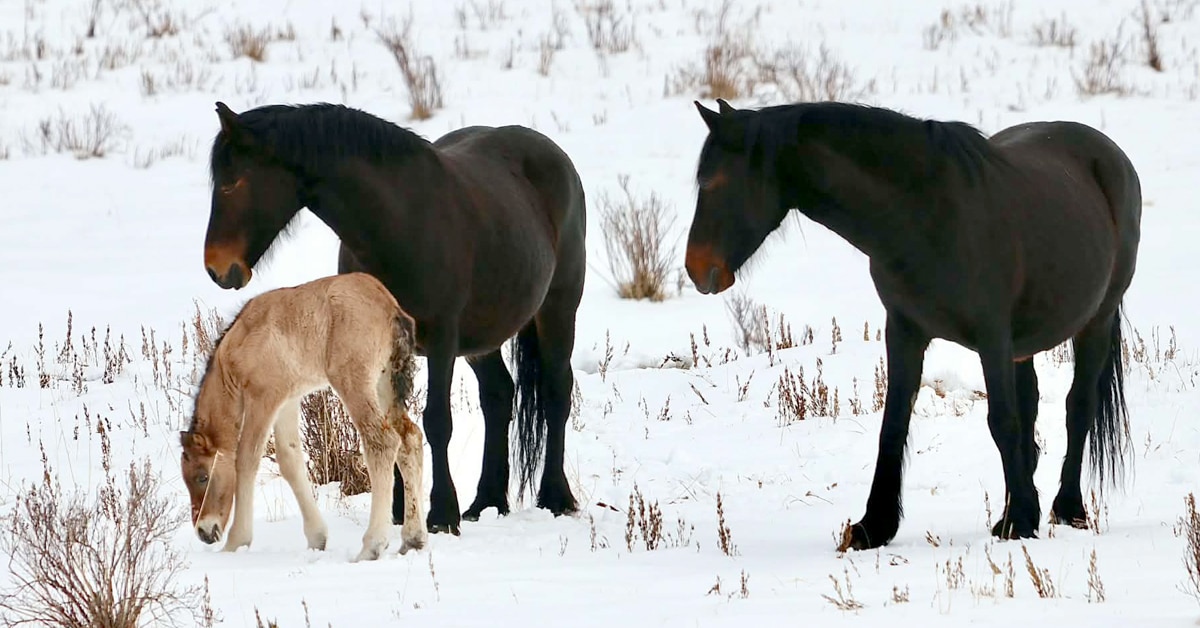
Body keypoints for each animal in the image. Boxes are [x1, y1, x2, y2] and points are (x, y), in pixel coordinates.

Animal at [179, 272, 427, 561]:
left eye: (202, 476)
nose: (204, 532)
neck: (239, 343)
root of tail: (391, 309)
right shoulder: (287, 400)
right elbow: (289, 459)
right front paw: (317, 538)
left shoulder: (263, 397)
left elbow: (246, 459)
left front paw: (236, 542)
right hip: (385, 385)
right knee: (410, 439)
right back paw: (413, 539)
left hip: (353, 382)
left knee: (382, 441)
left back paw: (371, 547)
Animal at [202, 101, 587, 535]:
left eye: (233, 182)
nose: (217, 268)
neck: (398, 225)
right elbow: (389, 424)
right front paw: (400, 510)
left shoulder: (442, 342)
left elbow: (436, 421)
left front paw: (441, 514)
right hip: (483, 338)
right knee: (499, 395)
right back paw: (487, 501)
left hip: (558, 309)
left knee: (556, 392)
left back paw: (555, 497)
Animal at [684, 98, 1141, 550]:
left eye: (715, 182)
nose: (696, 269)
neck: (925, 213)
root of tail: (1110, 156)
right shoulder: (905, 331)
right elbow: (894, 424)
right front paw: (873, 526)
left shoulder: (992, 337)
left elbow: (1001, 421)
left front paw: (1020, 521)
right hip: (1024, 345)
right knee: (1031, 408)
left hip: (1095, 323)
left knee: (1077, 408)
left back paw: (1068, 508)